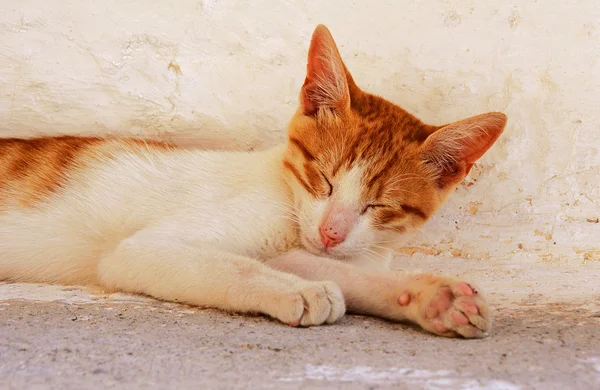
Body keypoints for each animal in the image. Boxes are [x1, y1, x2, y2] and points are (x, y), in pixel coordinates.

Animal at [0, 25, 506, 340]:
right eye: (323, 178)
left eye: (380, 207)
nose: (331, 232)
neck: (286, 200)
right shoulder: (137, 251)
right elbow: (233, 266)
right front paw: (296, 291)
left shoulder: (307, 252)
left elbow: (345, 273)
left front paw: (432, 297)